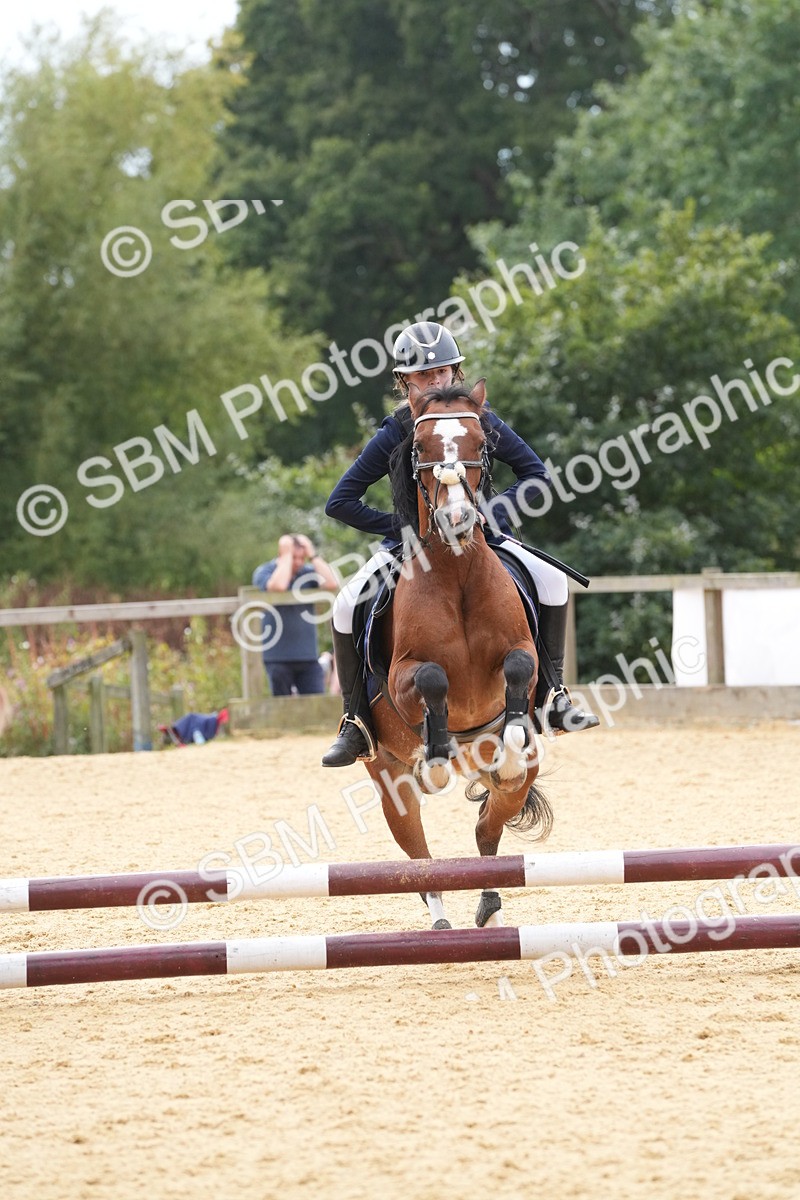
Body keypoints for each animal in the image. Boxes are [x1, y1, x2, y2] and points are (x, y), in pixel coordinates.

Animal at [362, 379, 552, 930]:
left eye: (481, 444)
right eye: (419, 448)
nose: (457, 518)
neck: (457, 571)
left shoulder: (522, 652)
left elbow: (518, 667)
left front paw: (510, 734)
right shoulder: (402, 677)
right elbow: (432, 679)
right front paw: (438, 753)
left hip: (519, 780)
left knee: (489, 825)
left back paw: (489, 903)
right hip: (389, 778)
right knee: (420, 856)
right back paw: (441, 919)